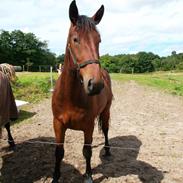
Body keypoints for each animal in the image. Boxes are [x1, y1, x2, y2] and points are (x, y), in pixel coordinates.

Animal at [50, 0, 112, 182]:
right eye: (75, 39)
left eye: (99, 40)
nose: (95, 84)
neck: (70, 97)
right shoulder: (58, 124)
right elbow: (59, 152)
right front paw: (55, 177)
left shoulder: (88, 126)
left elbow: (87, 151)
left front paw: (89, 176)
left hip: (106, 111)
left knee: (106, 129)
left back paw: (107, 150)